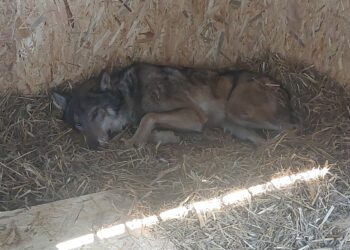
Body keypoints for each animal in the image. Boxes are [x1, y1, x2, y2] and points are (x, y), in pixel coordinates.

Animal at [52, 63, 296, 148]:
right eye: (78, 125)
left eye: (95, 113)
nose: (94, 146)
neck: (133, 93)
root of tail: (283, 88)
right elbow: (150, 125)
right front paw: (165, 137)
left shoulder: (195, 115)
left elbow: (148, 117)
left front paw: (134, 141)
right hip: (235, 126)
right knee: (265, 139)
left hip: (238, 111)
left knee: (293, 128)